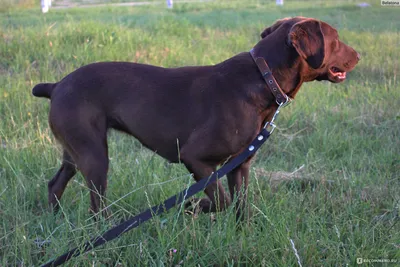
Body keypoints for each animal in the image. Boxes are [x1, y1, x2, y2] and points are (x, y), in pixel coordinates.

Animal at [32, 17, 360, 222]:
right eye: (336, 39)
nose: (358, 55)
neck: (262, 76)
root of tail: (56, 85)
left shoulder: (239, 165)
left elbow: (240, 207)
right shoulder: (197, 159)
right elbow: (220, 201)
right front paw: (193, 206)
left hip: (76, 152)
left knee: (55, 185)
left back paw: (56, 221)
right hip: (95, 156)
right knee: (95, 206)